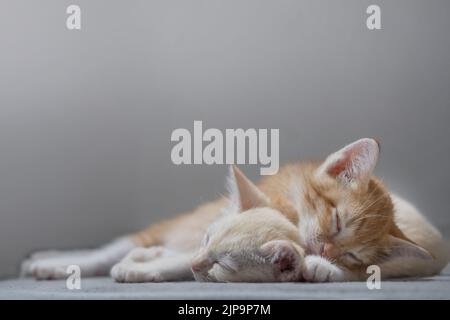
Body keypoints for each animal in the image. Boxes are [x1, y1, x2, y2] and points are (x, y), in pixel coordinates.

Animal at [22, 138, 450, 282]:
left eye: (354, 255)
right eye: (337, 219)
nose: (326, 251)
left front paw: (322, 268)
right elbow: (186, 255)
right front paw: (147, 266)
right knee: (114, 247)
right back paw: (52, 262)